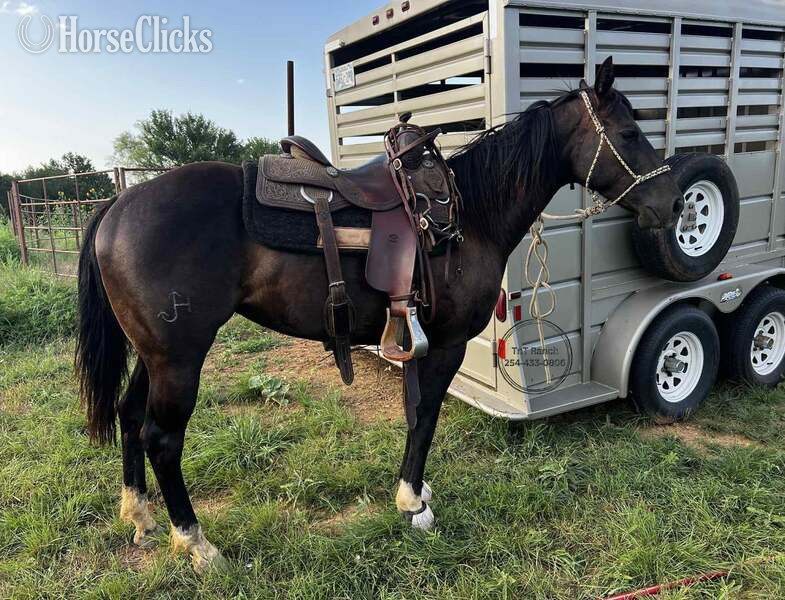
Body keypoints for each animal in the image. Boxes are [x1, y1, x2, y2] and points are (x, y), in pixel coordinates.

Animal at [75, 58, 684, 571]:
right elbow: (426, 419)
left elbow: (415, 415)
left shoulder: (416, 338)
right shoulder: (446, 343)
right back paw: (196, 543)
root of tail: (117, 205)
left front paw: (417, 494)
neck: (469, 214)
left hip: (154, 355)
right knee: (161, 438)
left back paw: (141, 517)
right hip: (180, 358)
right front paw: (412, 502)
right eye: (629, 134)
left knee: (129, 416)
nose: (673, 204)